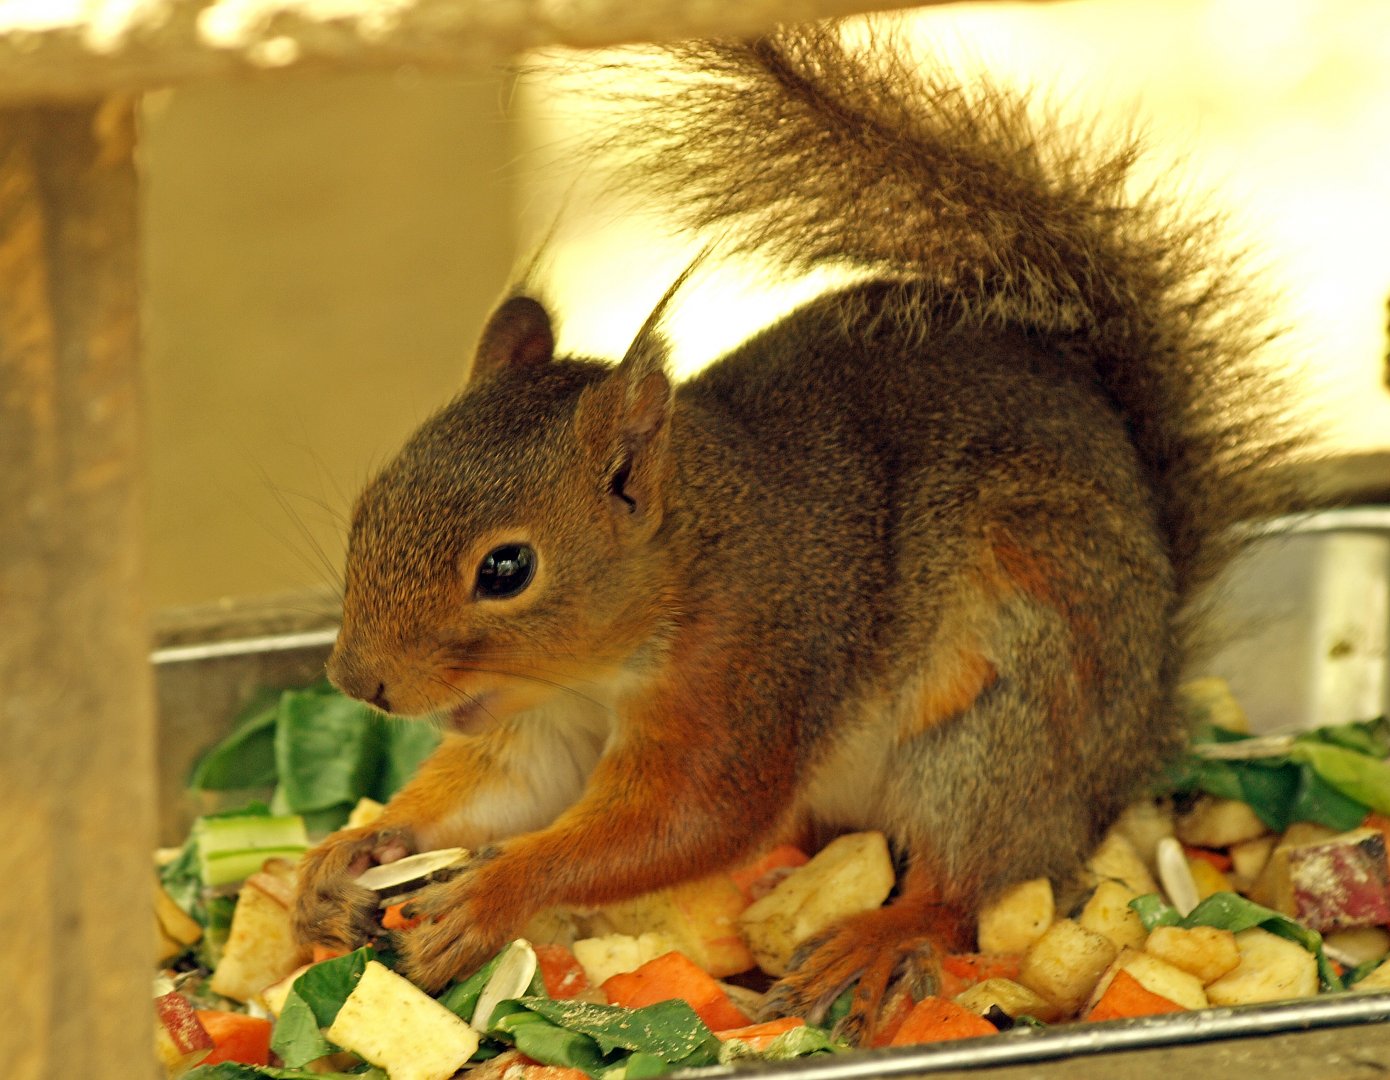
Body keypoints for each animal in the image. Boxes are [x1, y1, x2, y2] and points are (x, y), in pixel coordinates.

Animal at [292, 23, 1302, 1042]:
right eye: (371, 505)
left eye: (506, 568)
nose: (356, 681)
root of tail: (1141, 719)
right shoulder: (542, 724)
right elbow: (507, 790)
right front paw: (352, 850)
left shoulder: (751, 669)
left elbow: (691, 820)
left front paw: (497, 891)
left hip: (1008, 711)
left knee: (968, 875)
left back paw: (881, 936)